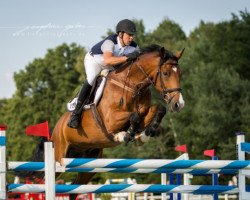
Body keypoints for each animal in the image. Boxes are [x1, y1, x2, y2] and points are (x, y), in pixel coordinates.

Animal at [34, 44, 185, 200]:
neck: (132, 85)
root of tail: (54, 131)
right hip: (59, 158)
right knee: (45, 180)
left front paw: (146, 133)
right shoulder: (110, 120)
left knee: (74, 189)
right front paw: (126, 135)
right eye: (166, 73)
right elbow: (134, 116)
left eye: (180, 74)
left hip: (88, 164)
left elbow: (158, 109)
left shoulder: (145, 111)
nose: (179, 104)